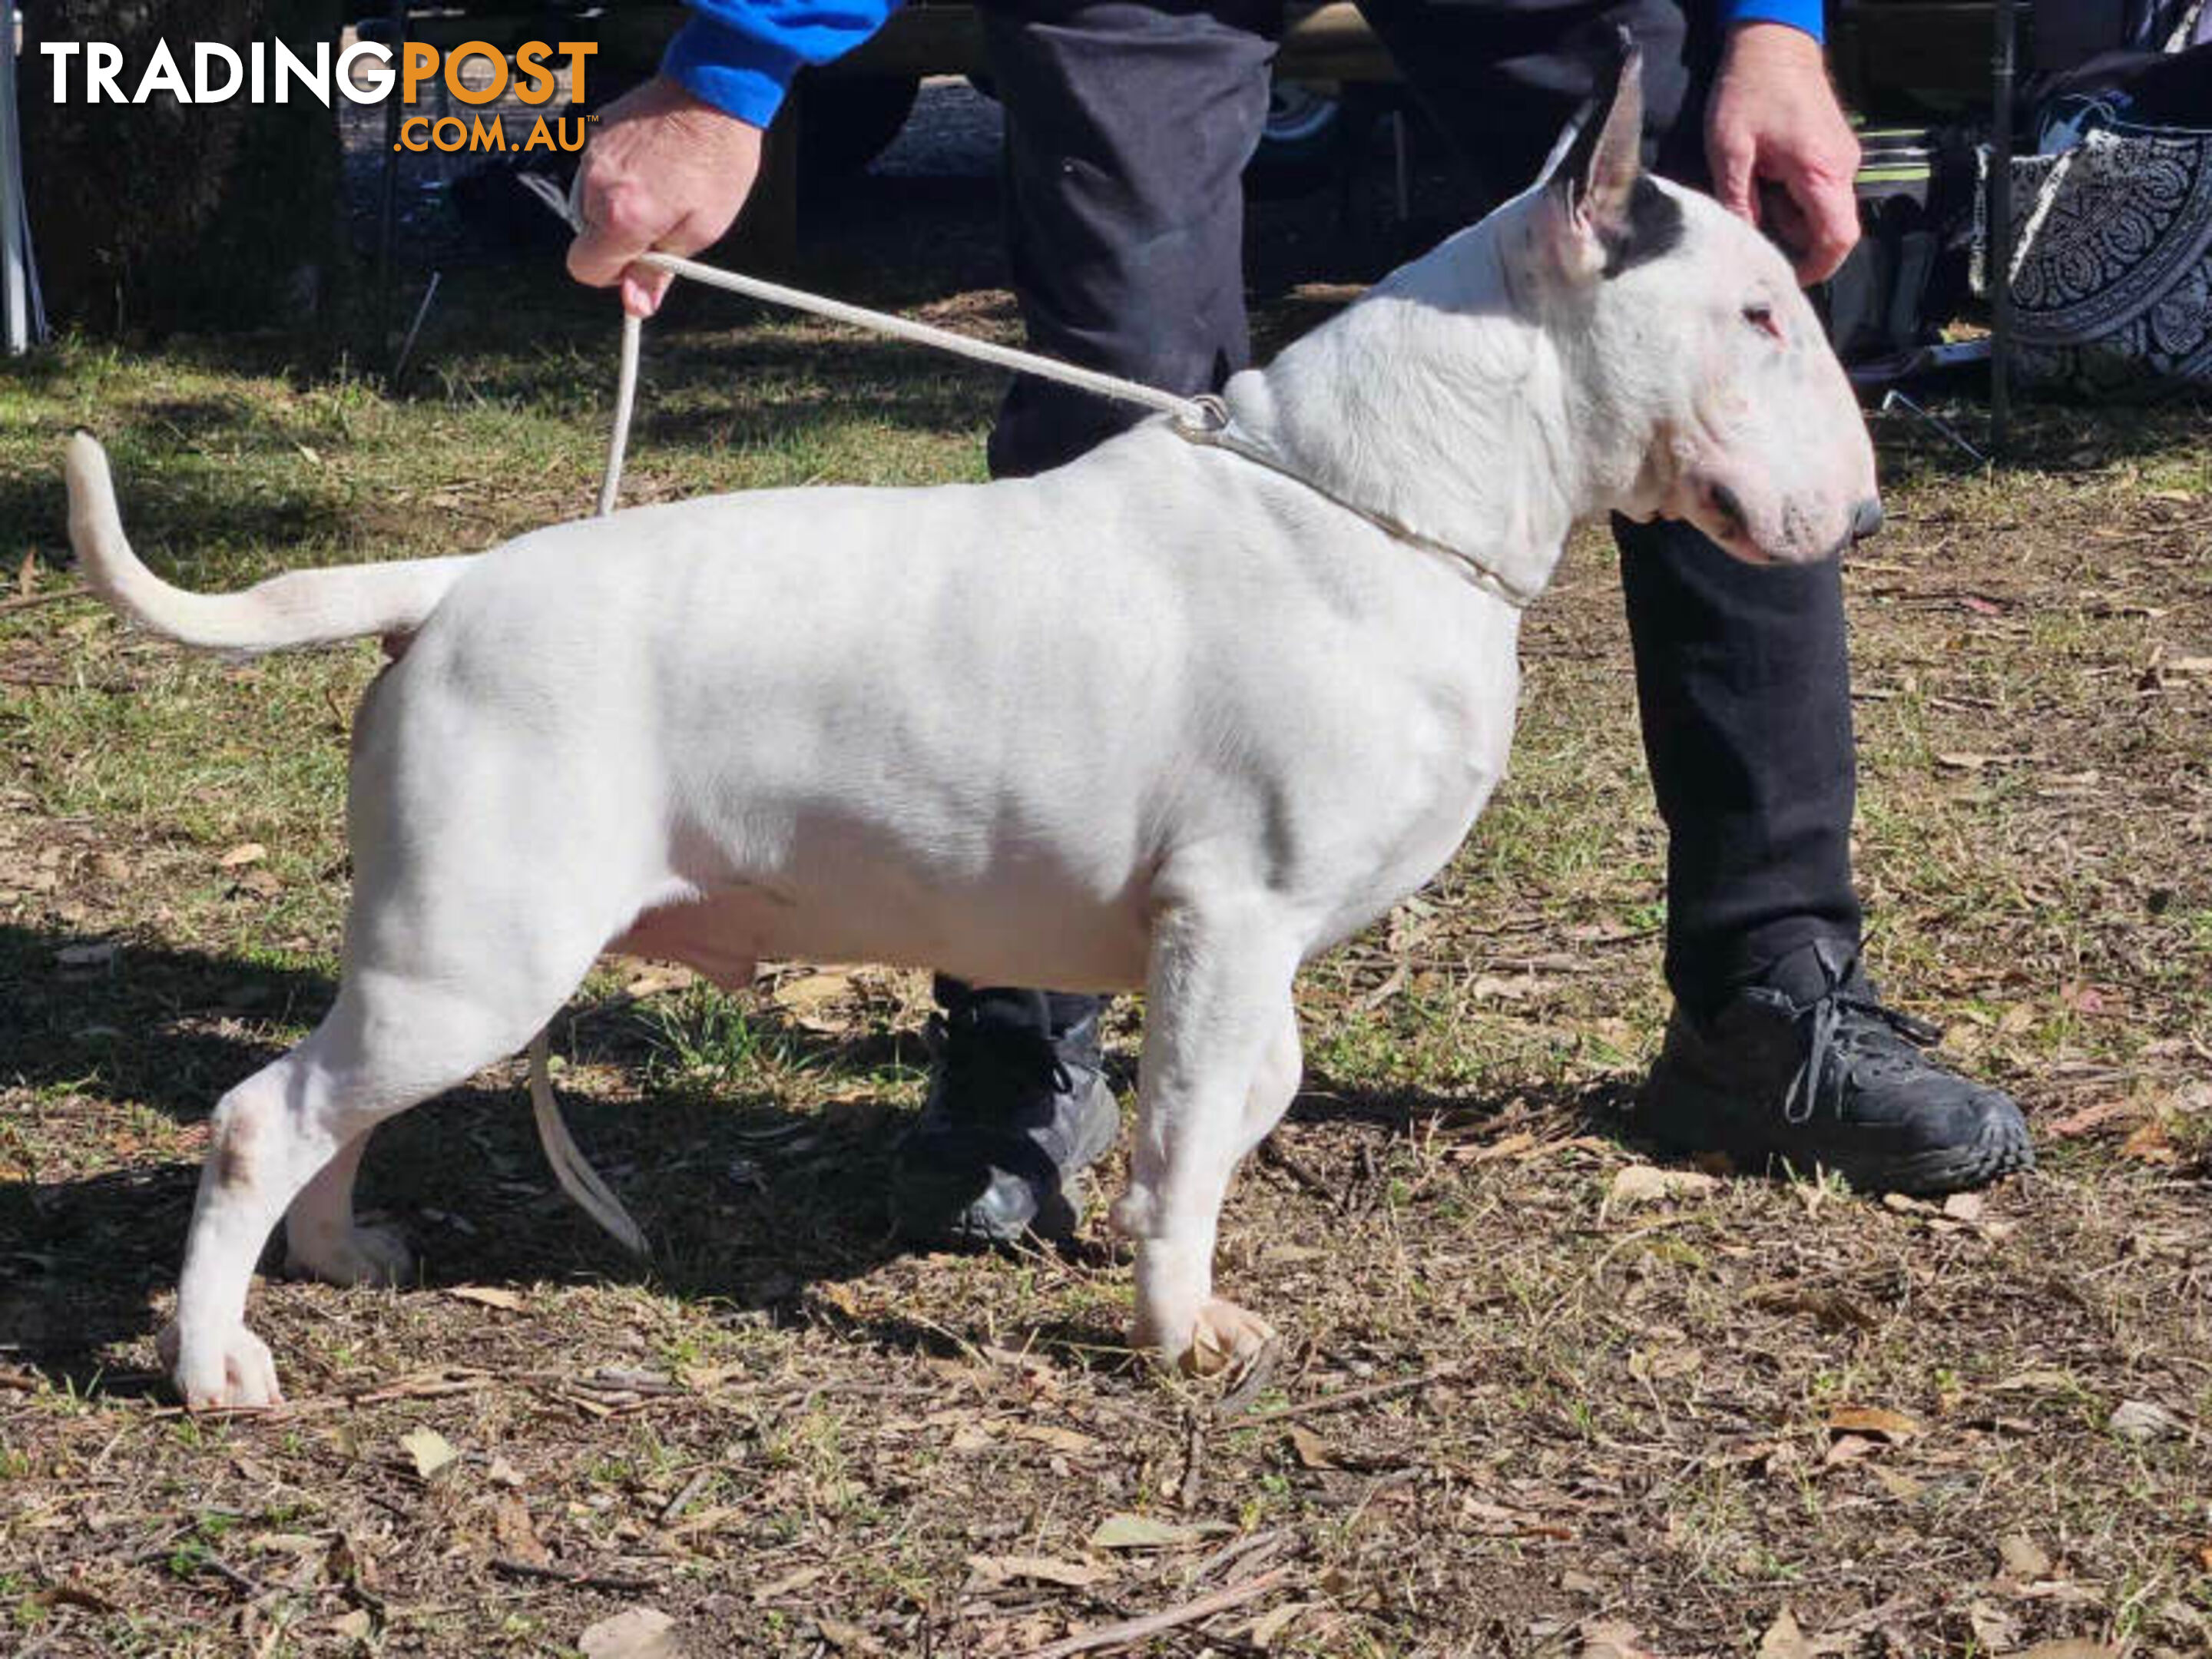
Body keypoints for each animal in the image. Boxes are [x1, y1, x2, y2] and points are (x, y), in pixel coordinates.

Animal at [65, 45, 1884, 1406]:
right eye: (1759, 315)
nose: (1862, 517)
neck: (1385, 494)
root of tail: (449, 585)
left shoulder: (1240, 941)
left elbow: (1251, 1088)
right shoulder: (1233, 913)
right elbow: (1201, 1135)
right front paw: (1174, 1326)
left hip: (442, 955)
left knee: (338, 1110)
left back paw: (337, 1260)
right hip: (478, 951)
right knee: (262, 1118)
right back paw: (215, 1363)